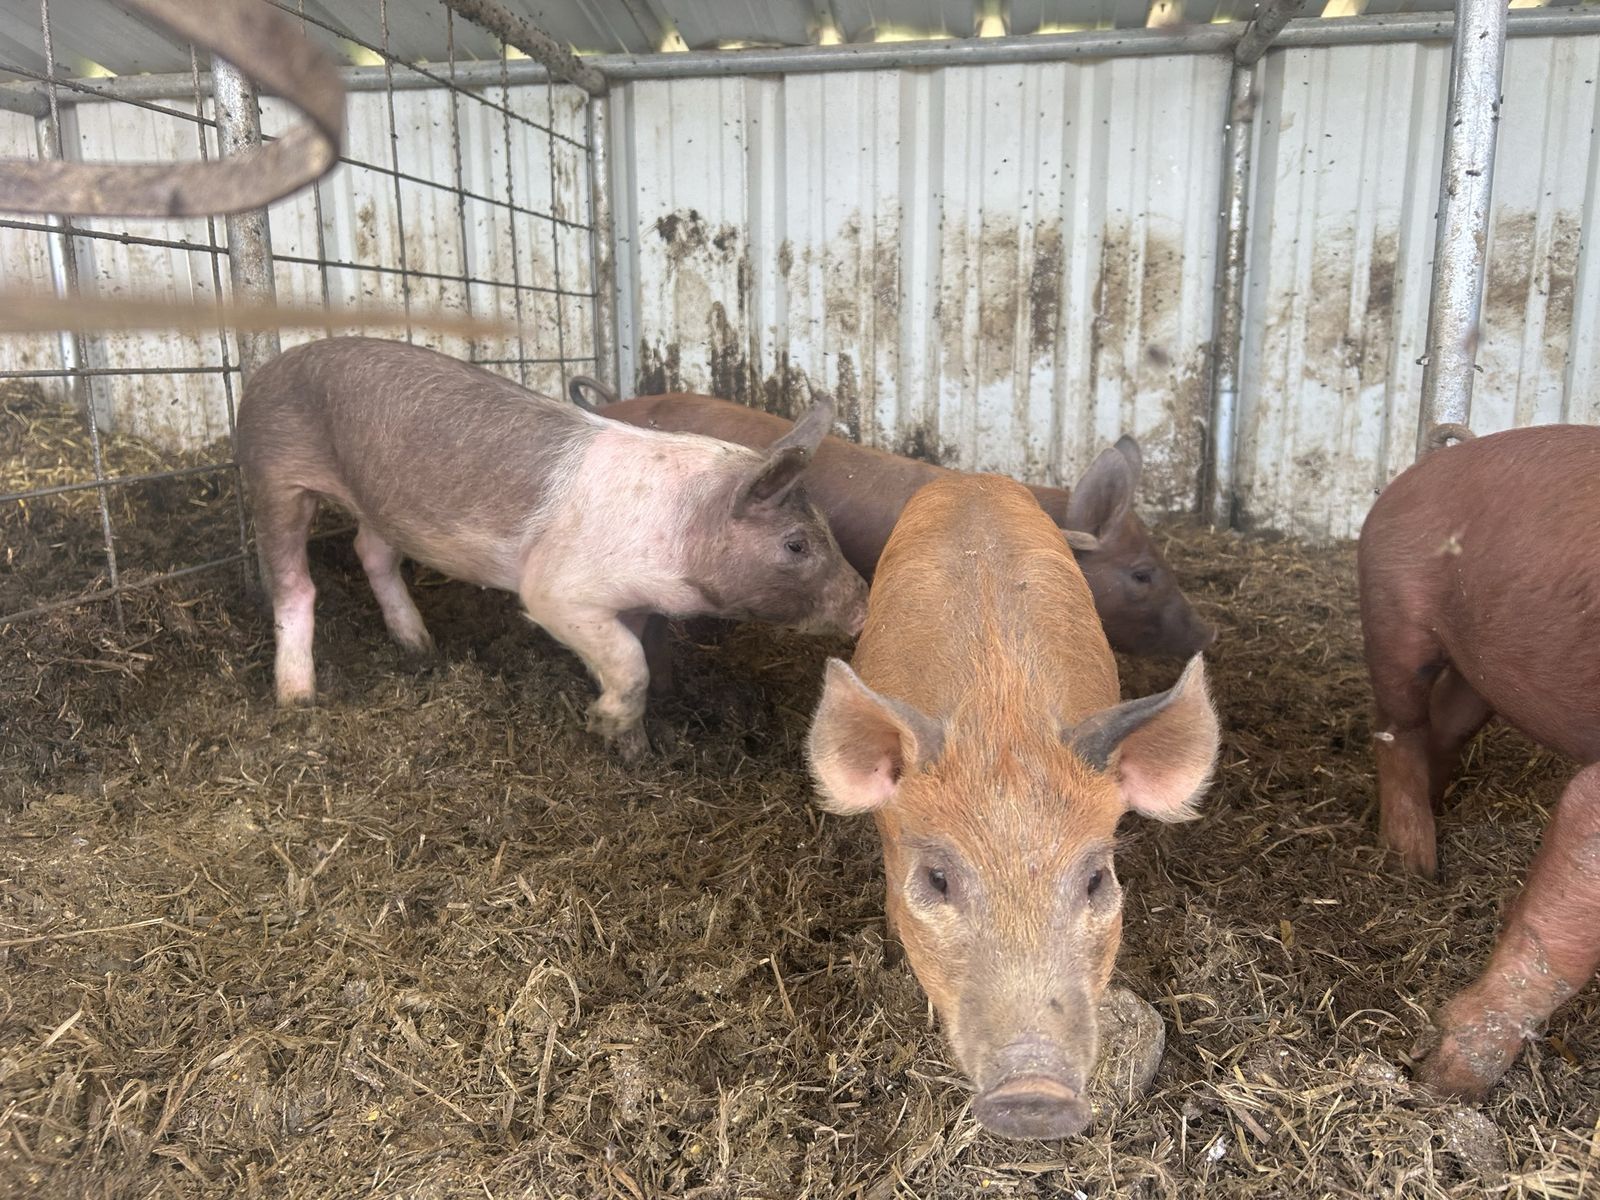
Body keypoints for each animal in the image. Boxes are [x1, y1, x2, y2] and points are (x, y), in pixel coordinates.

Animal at [237, 338, 867, 761]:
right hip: (274, 473)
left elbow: (629, 659)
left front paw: (637, 754)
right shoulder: (557, 591)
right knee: (293, 585)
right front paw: (601, 725)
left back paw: (419, 648)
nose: (863, 605)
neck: (682, 528)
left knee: (372, 552)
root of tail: (267, 367)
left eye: (827, 530)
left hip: (381, 502)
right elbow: (630, 664)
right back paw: (297, 701)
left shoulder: (627, 602)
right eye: (795, 544)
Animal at [1357, 422, 1600, 1099]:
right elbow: (1561, 930)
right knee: (1399, 726)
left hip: (1480, 665)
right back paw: (1415, 863)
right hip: (1393, 607)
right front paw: (1441, 1084)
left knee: (1447, 721)